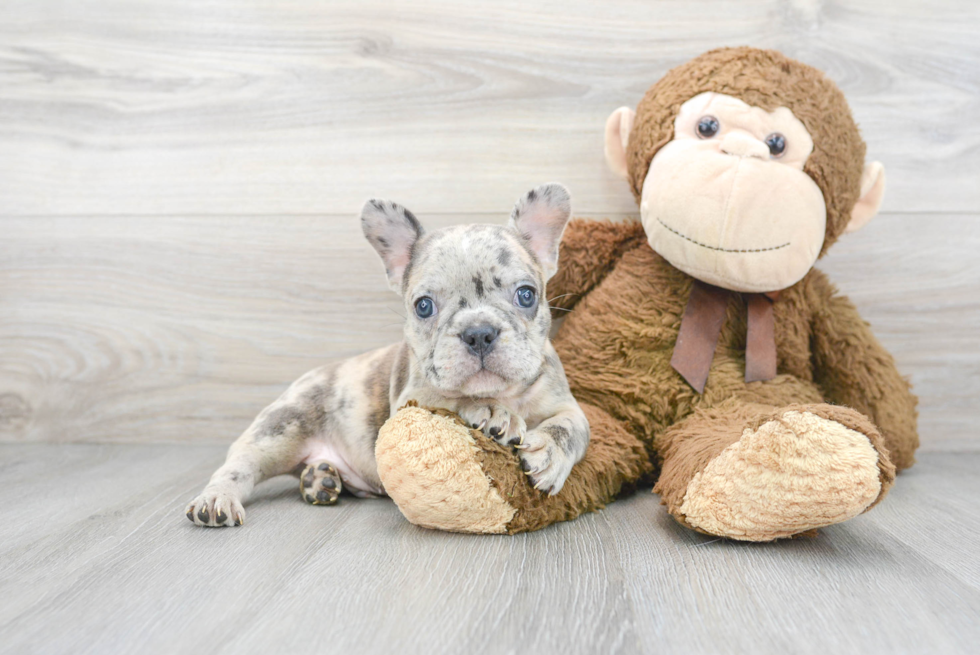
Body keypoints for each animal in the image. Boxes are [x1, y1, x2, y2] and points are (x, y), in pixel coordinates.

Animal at [186, 183, 588, 528]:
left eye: (526, 294)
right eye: (424, 306)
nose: (478, 333)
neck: (503, 392)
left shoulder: (567, 404)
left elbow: (573, 428)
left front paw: (549, 454)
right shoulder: (412, 401)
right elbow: (451, 400)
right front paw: (489, 411)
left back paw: (320, 479)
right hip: (279, 430)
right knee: (239, 465)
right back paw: (217, 499)